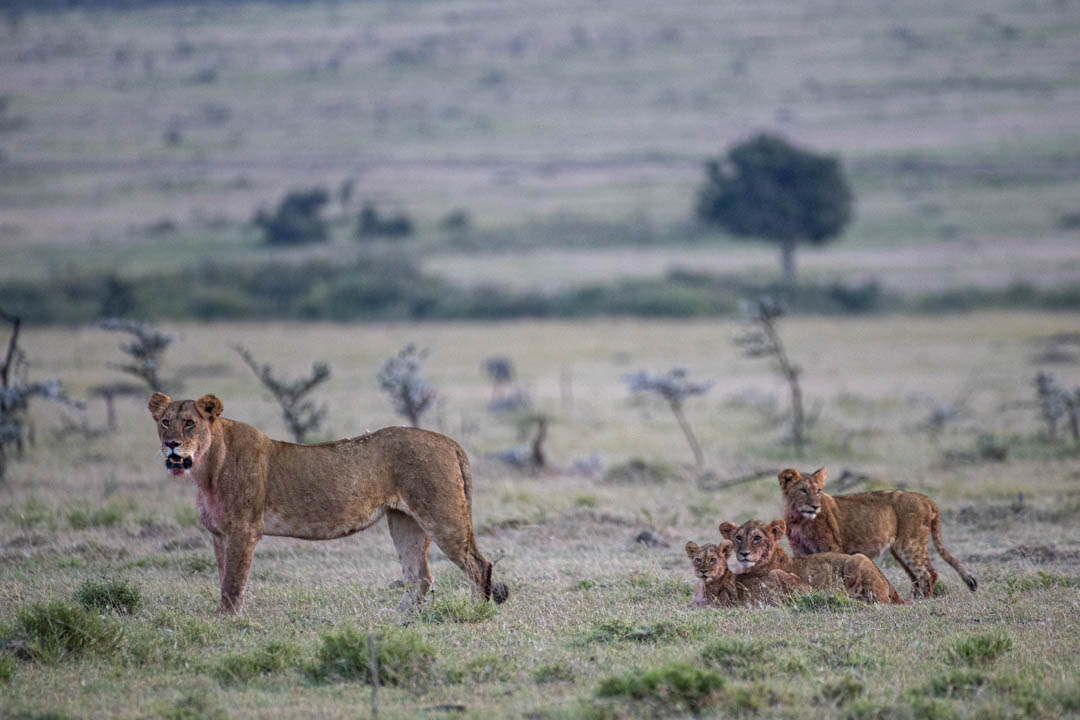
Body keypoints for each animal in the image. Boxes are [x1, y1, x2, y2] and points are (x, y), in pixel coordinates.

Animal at [148, 392, 508, 614]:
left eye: (190, 422)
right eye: (165, 421)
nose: (171, 444)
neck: (207, 467)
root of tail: (449, 441)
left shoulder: (243, 530)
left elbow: (233, 582)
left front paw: (227, 621)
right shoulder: (219, 534)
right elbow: (223, 577)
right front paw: (221, 616)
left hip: (441, 514)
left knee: (478, 564)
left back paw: (475, 613)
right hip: (404, 520)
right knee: (419, 576)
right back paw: (393, 619)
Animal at [779, 468, 977, 598]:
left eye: (818, 490)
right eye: (803, 490)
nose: (815, 506)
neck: (799, 519)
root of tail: (924, 497)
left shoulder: (831, 547)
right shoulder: (800, 551)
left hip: (909, 544)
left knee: (928, 573)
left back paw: (921, 600)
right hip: (899, 550)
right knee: (918, 575)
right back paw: (913, 597)